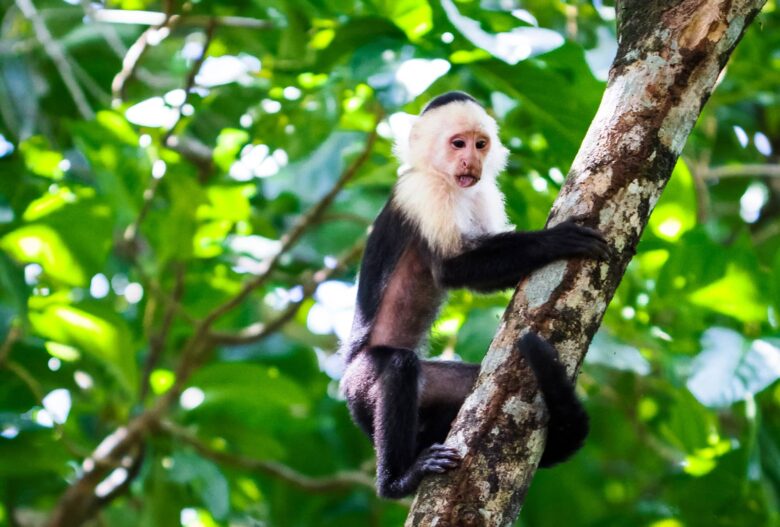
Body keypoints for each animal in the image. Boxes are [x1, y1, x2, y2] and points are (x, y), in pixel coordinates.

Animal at [339, 91, 609, 499]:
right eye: (457, 144)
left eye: (480, 144)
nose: (471, 160)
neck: (446, 181)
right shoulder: (424, 192)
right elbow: (453, 268)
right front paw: (557, 240)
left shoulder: (483, 192)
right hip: (360, 382)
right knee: (398, 366)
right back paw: (397, 480)